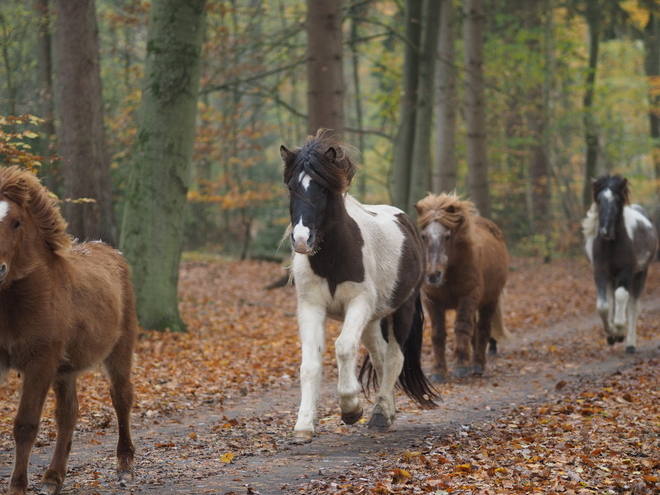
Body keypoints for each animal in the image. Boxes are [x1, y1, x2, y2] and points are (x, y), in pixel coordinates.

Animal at [0, 168, 137, 495]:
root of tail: (111, 250)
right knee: (68, 414)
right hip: (66, 370)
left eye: (17, 222)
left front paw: (17, 487)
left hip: (120, 350)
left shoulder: (40, 362)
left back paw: (124, 467)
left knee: (121, 397)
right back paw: (53, 478)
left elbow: (25, 425)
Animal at [280, 130, 438, 444]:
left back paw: (380, 414)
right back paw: (386, 411)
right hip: (372, 320)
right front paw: (304, 424)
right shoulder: (311, 307)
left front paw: (351, 407)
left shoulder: (358, 303)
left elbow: (343, 348)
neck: (333, 258)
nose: (302, 240)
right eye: (292, 187)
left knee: (394, 357)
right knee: (379, 356)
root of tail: (407, 221)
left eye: (323, 189)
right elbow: (310, 364)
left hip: (401, 309)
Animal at [416, 192, 508, 382]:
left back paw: (477, 365)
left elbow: (461, 328)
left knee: (483, 328)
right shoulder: (433, 303)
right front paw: (438, 371)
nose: (433, 275)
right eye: (423, 236)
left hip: (490, 301)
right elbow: (437, 334)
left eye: (447, 236)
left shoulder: (468, 297)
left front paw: (460, 366)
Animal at [580, 174, 656, 352]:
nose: (605, 231)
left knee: (633, 305)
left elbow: (622, 297)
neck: (611, 245)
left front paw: (620, 331)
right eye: (600, 200)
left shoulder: (626, 270)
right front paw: (611, 332)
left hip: (640, 274)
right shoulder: (600, 271)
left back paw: (630, 344)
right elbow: (603, 305)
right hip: (612, 277)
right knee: (612, 299)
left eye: (617, 200)